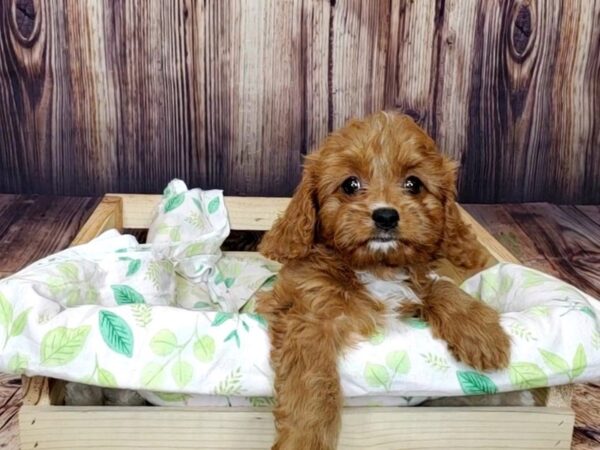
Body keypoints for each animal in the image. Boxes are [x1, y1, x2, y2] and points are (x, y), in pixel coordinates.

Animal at [256, 112, 510, 450]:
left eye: (413, 184)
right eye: (350, 184)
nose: (386, 216)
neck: (376, 270)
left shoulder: (412, 294)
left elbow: (440, 287)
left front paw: (482, 332)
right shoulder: (308, 319)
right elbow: (312, 380)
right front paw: (304, 439)